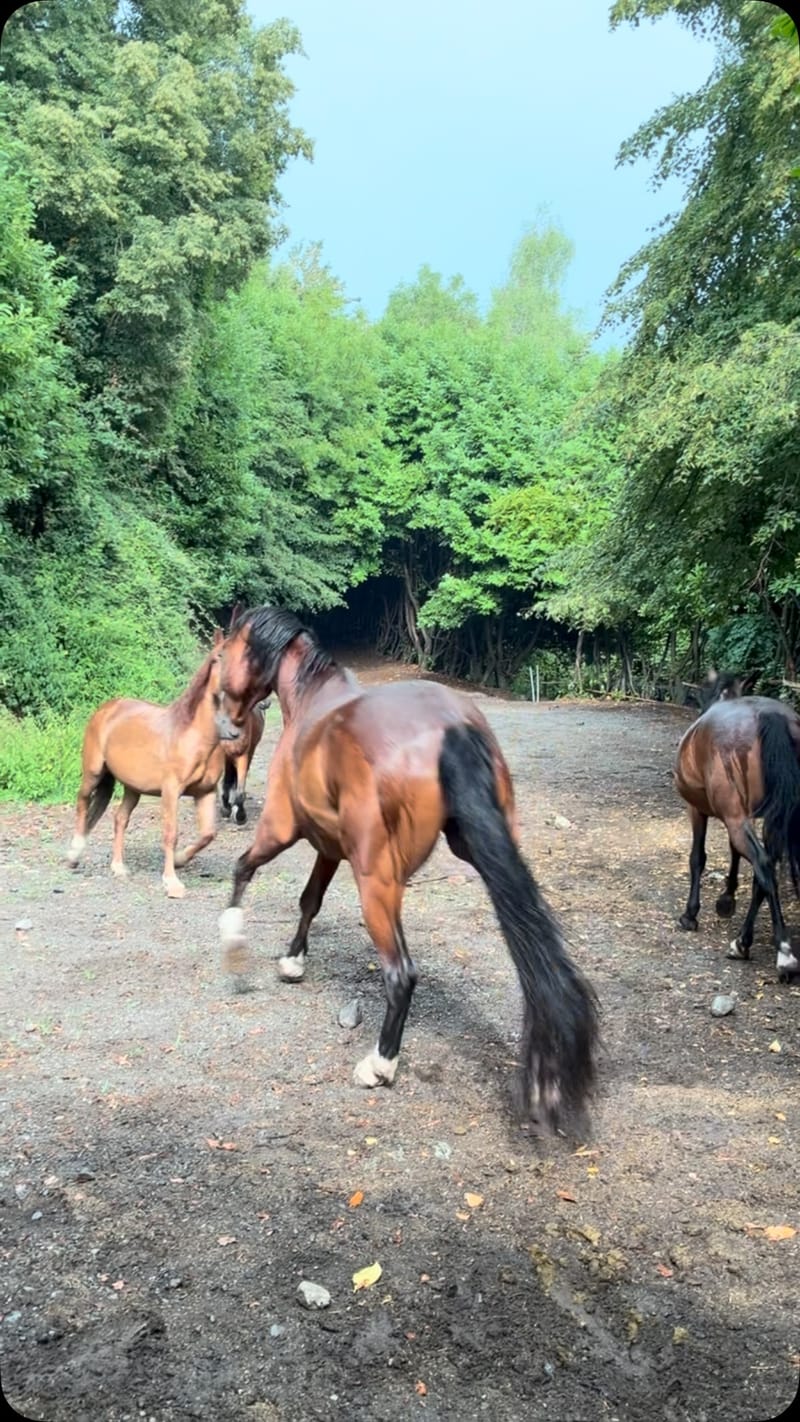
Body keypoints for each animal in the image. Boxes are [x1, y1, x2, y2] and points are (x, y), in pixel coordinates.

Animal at [67, 632, 236, 897]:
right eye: (218, 656)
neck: (193, 734)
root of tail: (106, 708)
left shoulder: (205, 792)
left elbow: (208, 834)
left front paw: (180, 860)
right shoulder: (171, 791)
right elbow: (170, 834)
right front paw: (171, 882)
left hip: (132, 788)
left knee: (120, 818)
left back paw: (118, 867)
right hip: (93, 773)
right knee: (83, 803)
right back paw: (74, 854)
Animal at [213, 605, 598, 1130]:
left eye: (222, 655)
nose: (228, 727)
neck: (312, 703)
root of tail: (452, 728)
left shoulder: (280, 829)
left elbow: (242, 870)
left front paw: (233, 941)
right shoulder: (330, 849)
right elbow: (309, 900)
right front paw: (293, 961)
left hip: (377, 883)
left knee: (400, 973)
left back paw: (379, 1064)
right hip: (477, 850)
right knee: (527, 938)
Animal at [674, 690, 800, 978]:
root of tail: (771, 715)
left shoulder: (698, 810)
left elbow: (697, 858)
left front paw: (690, 914)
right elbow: (735, 854)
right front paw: (727, 898)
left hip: (737, 818)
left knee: (763, 865)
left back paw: (783, 952)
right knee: (764, 873)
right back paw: (743, 942)